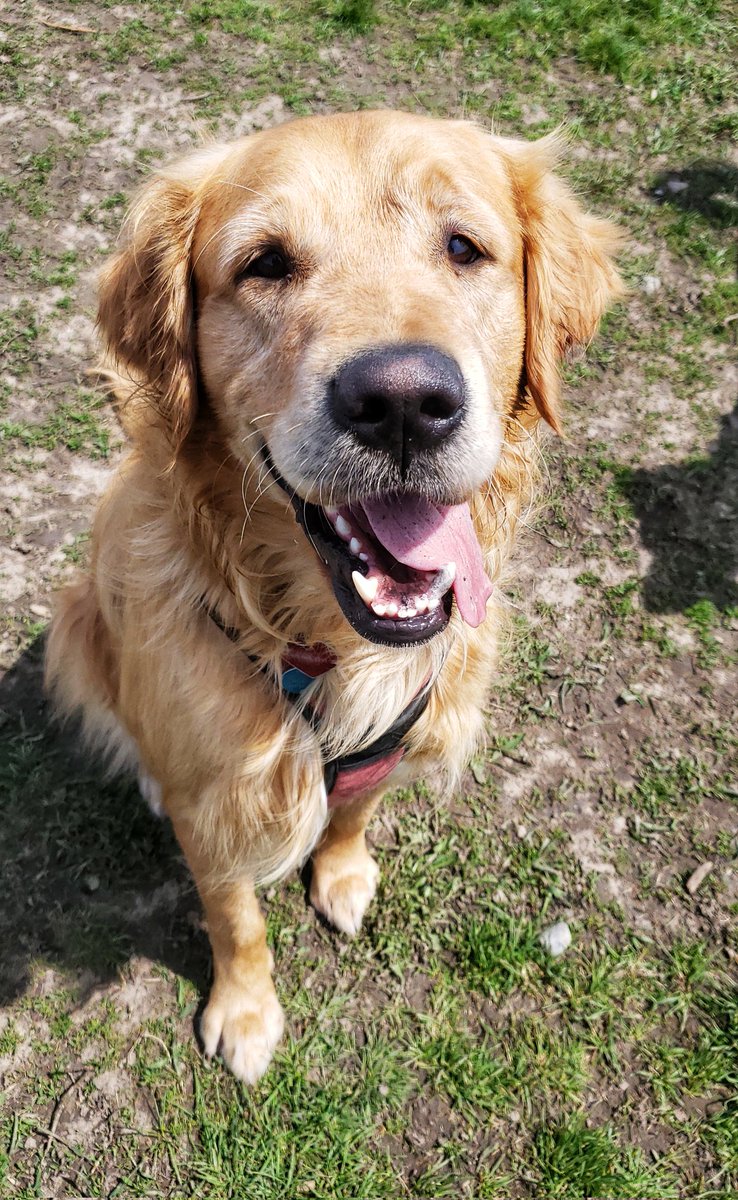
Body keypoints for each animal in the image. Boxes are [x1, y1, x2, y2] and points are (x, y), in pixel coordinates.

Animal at [44, 112, 624, 1084]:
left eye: (463, 247)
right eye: (266, 264)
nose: (403, 402)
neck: (327, 645)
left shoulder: (397, 734)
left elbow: (355, 808)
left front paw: (343, 875)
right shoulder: (217, 806)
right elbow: (235, 917)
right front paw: (245, 1013)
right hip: (75, 621)